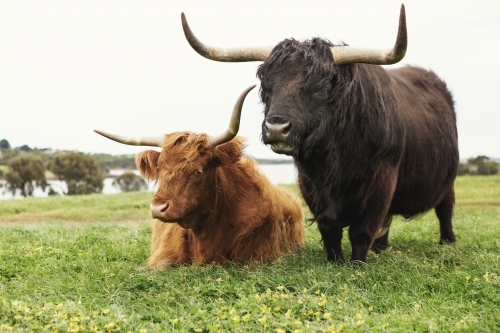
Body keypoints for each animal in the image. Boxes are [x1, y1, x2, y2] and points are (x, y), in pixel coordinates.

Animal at [182, 5, 458, 264]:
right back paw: (381, 247)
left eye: (319, 89)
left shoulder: (381, 179)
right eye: (267, 87)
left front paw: (357, 264)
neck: (335, 159)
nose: (276, 128)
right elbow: (330, 228)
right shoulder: (310, 183)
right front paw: (335, 261)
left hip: (448, 179)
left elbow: (362, 229)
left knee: (445, 209)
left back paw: (448, 242)